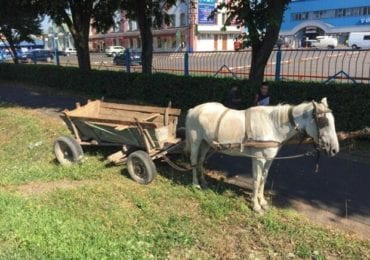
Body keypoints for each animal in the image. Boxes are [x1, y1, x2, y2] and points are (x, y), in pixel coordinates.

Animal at [186, 97, 340, 213]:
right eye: (323, 122)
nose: (334, 149)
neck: (272, 125)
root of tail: (194, 109)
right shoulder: (258, 158)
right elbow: (256, 180)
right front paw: (256, 206)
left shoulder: (269, 159)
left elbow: (263, 179)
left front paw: (263, 202)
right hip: (195, 142)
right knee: (193, 161)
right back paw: (196, 184)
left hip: (206, 144)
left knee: (200, 161)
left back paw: (204, 183)